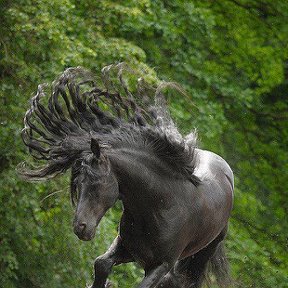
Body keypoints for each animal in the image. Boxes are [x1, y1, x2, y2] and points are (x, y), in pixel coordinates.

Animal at [19, 64, 234, 286]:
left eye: (96, 183)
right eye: (77, 184)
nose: (80, 227)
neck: (160, 206)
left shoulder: (161, 265)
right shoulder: (126, 247)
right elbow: (101, 263)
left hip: (202, 255)